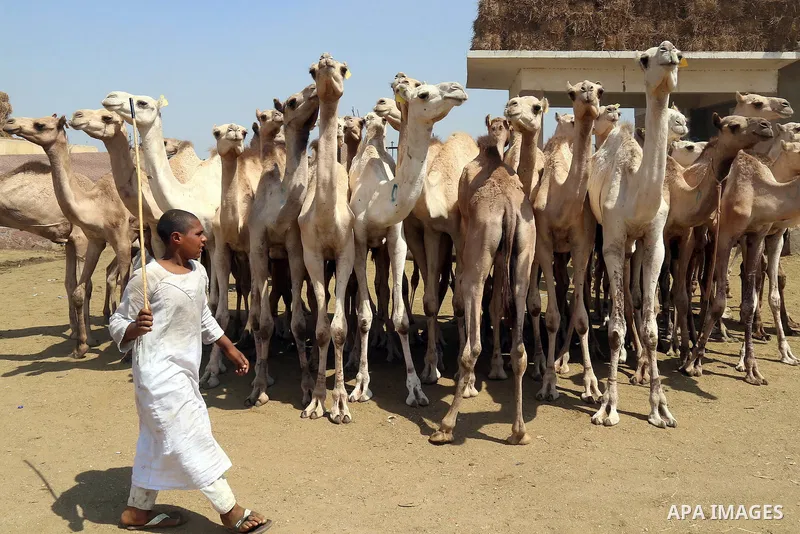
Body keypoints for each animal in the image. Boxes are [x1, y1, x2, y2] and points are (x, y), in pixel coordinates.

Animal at [4, 115, 133, 359]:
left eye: (40, 124)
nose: (9, 122)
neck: (96, 204)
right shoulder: (95, 240)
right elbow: (79, 289)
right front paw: (81, 346)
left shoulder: (120, 239)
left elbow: (123, 285)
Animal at [347, 77, 468, 407]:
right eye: (423, 93)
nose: (458, 88)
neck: (379, 198)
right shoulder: (359, 239)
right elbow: (363, 315)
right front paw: (360, 385)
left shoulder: (396, 239)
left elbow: (401, 316)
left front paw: (415, 387)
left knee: (386, 289)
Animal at [430, 115, 535, 445]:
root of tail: (510, 210)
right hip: (524, 253)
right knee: (519, 349)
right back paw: (519, 431)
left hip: (481, 249)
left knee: (473, 339)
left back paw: (445, 426)